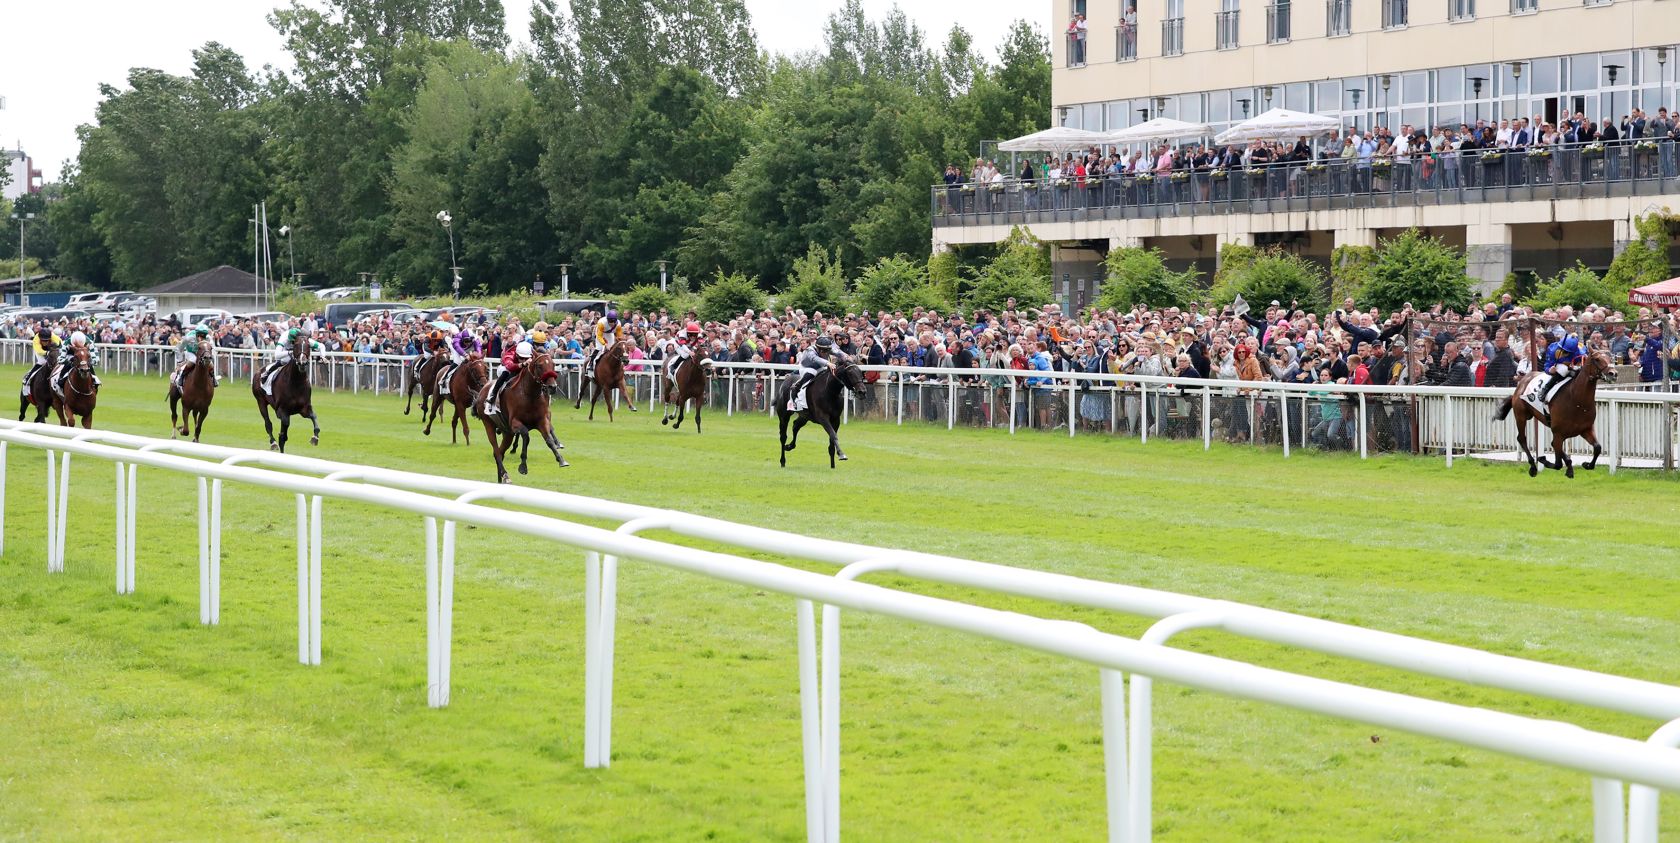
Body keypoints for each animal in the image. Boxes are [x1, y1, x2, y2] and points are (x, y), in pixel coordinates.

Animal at [473, 347, 571, 480]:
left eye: (553, 364)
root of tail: (482, 390)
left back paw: (501, 477)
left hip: (507, 432)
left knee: (500, 452)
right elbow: (526, 435)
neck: (529, 395)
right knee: (496, 451)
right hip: (489, 424)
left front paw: (561, 459)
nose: (552, 387)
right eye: (539, 365)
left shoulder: (542, 420)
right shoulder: (515, 422)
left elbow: (549, 440)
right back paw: (505, 475)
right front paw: (523, 466)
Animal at [1498, 350, 1612, 480]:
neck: (1577, 400)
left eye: (1610, 358)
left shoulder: (1585, 429)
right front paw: (1559, 466)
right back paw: (1533, 467)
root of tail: (1522, 380)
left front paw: (1587, 464)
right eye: (1597, 359)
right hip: (1520, 415)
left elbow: (1597, 448)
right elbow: (1558, 462)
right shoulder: (1558, 433)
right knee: (1521, 438)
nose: (1613, 373)